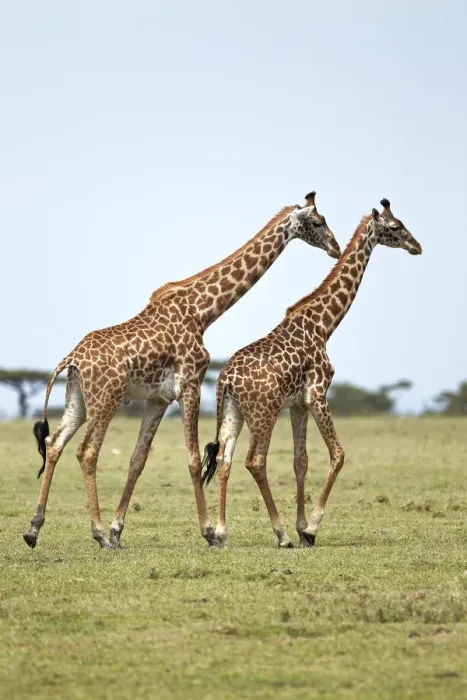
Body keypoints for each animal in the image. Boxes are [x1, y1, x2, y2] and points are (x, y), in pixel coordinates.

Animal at [24, 192, 341, 550]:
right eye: (317, 222)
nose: (335, 247)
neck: (202, 312)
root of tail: (71, 358)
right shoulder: (191, 383)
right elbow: (191, 457)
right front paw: (209, 533)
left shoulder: (158, 399)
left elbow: (138, 459)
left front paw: (119, 531)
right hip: (106, 398)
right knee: (87, 452)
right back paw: (98, 534)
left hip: (77, 397)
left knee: (54, 443)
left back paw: (34, 529)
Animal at [201, 199, 422, 548]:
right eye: (396, 226)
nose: (417, 246)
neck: (324, 325)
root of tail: (225, 380)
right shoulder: (318, 393)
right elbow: (338, 454)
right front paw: (310, 529)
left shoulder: (298, 404)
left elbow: (300, 462)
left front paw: (302, 526)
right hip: (263, 412)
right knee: (255, 461)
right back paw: (280, 535)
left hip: (232, 412)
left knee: (225, 459)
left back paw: (222, 534)